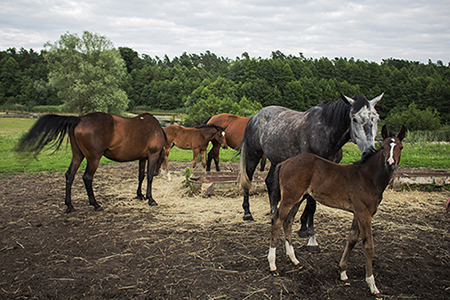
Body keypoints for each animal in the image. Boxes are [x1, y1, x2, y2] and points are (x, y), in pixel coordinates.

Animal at [15, 112, 168, 213]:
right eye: (162, 159)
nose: (157, 172)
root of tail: (79, 119)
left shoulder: (142, 158)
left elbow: (141, 176)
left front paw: (140, 195)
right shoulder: (152, 155)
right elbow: (148, 177)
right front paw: (150, 199)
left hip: (77, 155)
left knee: (70, 175)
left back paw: (69, 205)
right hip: (94, 158)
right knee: (87, 177)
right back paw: (95, 204)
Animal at [239, 94, 384, 251]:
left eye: (376, 118)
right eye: (354, 119)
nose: (369, 151)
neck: (325, 132)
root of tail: (254, 116)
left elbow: (310, 202)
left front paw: (303, 228)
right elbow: (311, 204)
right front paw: (312, 238)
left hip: (276, 160)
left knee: (270, 181)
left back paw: (273, 211)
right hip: (253, 154)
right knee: (248, 180)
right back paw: (247, 213)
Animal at [268, 125, 406, 298]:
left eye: (400, 147)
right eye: (383, 147)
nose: (390, 163)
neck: (367, 177)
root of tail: (284, 162)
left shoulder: (358, 213)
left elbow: (352, 239)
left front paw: (343, 273)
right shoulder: (364, 214)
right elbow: (368, 246)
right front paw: (372, 286)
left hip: (299, 198)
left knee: (288, 221)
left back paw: (294, 260)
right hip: (290, 197)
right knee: (277, 222)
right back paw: (273, 266)